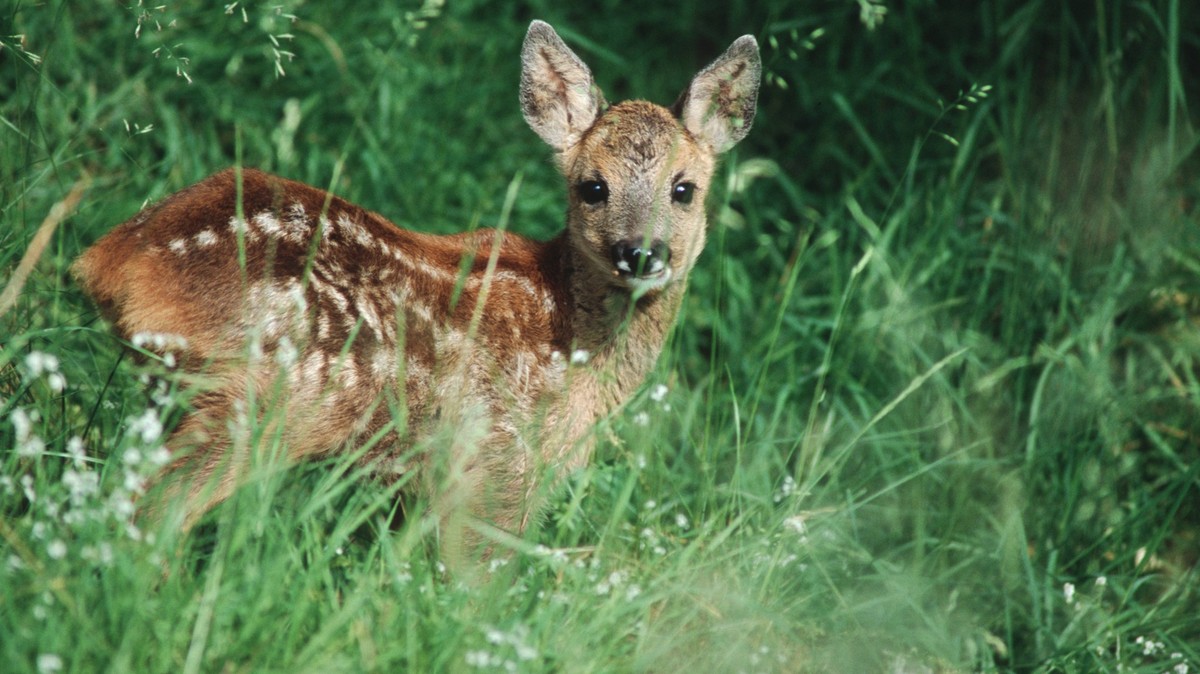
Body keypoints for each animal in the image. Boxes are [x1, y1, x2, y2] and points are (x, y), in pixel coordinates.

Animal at [73, 20, 760, 561]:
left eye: (684, 189)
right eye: (593, 187)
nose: (641, 252)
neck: (571, 344)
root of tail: (112, 259)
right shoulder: (498, 459)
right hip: (264, 395)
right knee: (154, 509)